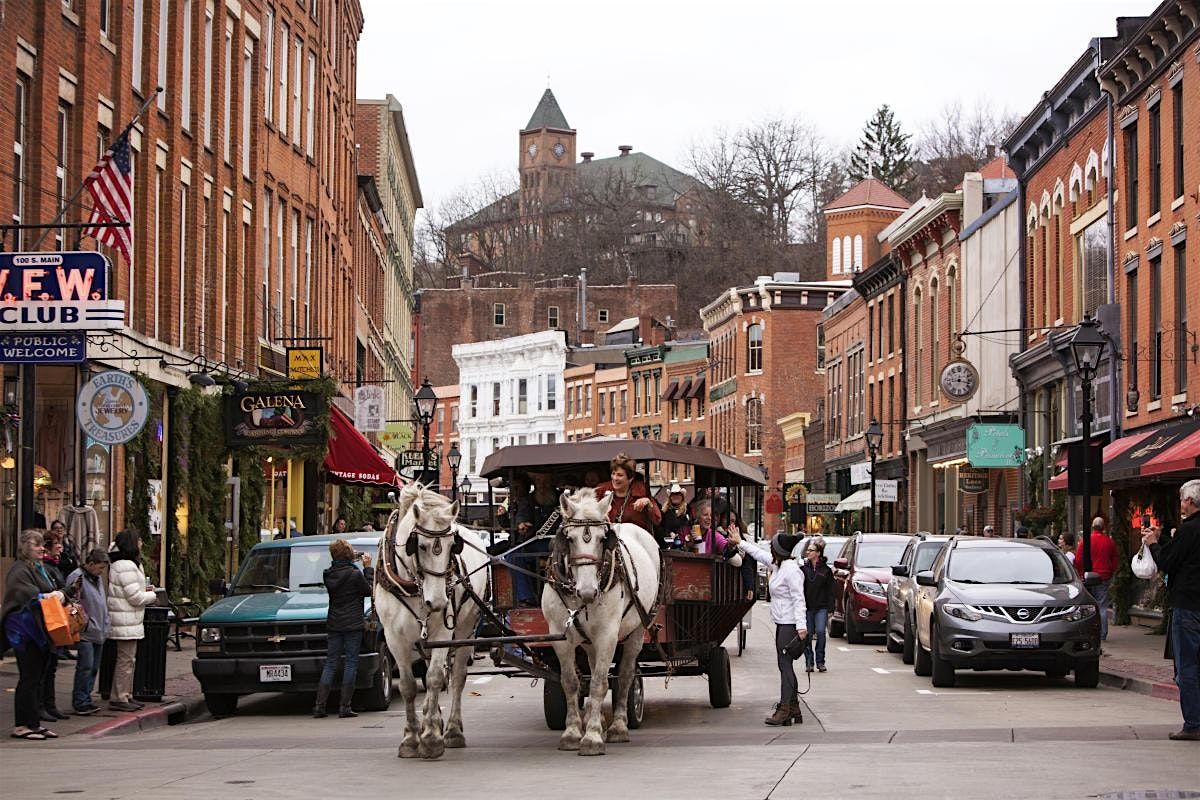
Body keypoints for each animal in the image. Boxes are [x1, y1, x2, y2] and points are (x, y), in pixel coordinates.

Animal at [374, 484, 487, 762]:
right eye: (421, 546)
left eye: (452, 546)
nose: (436, 601)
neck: (413, 584)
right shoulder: (394, 637)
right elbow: (407, 686)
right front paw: (411, 738)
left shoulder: (443, 631)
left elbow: (436, 677)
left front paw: (431, 739)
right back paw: (432, 718)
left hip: (466, 627)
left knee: (457, 677)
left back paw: (452, 730)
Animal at [542, 489, 662, 758]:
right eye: (570, 538)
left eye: (601, 538)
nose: (588, 592)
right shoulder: (560, 636)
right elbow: (570, 682)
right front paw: (573, 732)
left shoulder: (608, 635)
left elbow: (599, 683)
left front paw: (593, 737)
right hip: (589, 641)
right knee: (594, 665)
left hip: (637, 631)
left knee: (625, 675)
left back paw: (617, 726)